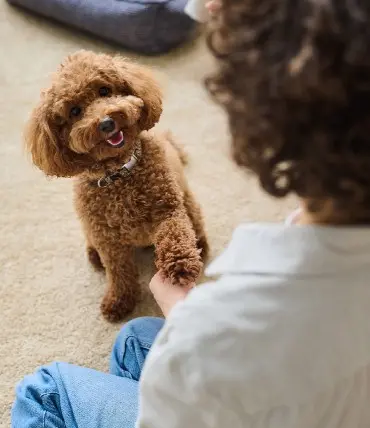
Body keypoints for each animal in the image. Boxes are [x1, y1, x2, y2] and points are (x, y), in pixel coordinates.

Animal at [26, 51, 208, 320]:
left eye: (104, 90)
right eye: (75, 111)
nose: (106, 123)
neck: (119, 175)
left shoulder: (168, 210)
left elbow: (174, 233)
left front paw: (180, 265)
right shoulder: (108, 239)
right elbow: (118, 272)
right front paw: (119, 301)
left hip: (189, 204)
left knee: (196, 226)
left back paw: (201, 247)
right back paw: (93, 255)